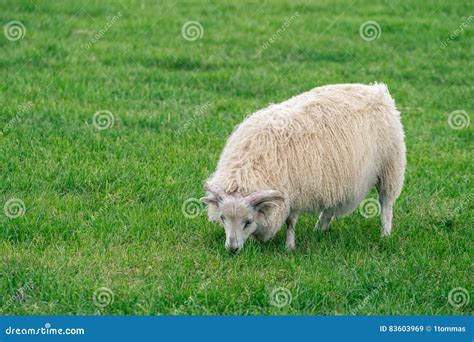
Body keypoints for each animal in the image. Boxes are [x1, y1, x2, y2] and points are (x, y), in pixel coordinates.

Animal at [202, 83, 406, 254]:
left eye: (248, 221)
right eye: (222, 218)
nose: (232, 249)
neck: (250, 166)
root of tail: (376, 90)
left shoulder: (294, 192)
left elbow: (290, 221)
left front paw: (289, 247)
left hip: (390, 165)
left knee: (386, 203)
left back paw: (385, 234)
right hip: (335, 175)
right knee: (330, 207)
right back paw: (319, 230)